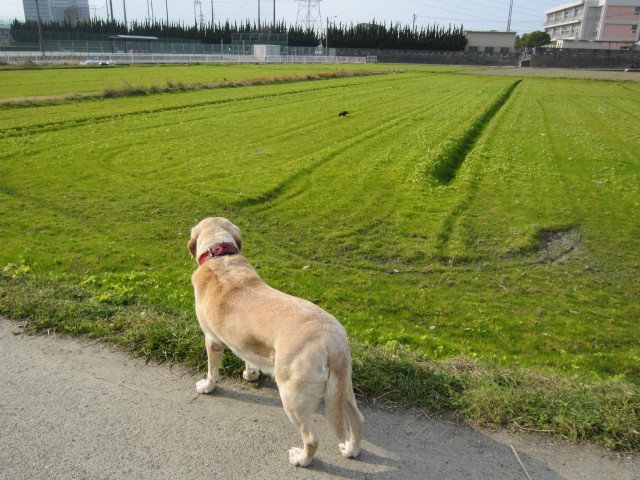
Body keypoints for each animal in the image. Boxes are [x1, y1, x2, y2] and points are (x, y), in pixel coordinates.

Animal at [188, 219, 362, 466]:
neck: (220, 257)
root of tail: (332, 340)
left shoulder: (212, 341)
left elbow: (212, 370)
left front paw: (207, 386)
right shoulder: (245, 341)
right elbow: (248, 356)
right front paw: (251, 374)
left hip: (292, 396)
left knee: (312, 439)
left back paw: (301, 459)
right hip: (342, 387)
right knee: (358, 420)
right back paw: (351, 449)